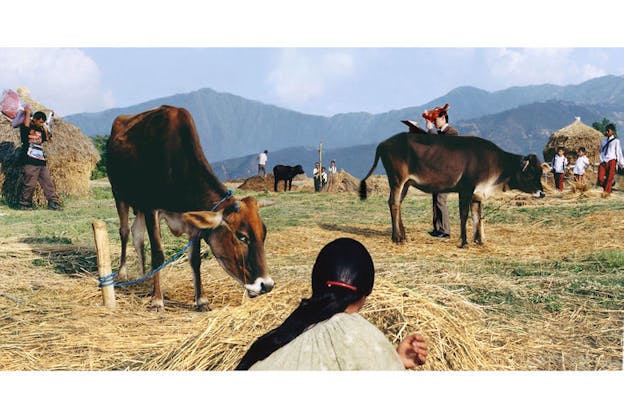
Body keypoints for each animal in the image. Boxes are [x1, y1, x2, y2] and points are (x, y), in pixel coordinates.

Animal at [108, 105, 274, 310]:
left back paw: (144, 277)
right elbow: (158, 254)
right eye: (242, 236)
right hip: (119, 194)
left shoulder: (192, 221)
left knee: (136, 233)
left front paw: (201, 300)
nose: (266, 285)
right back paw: (122, 273)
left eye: (264, 234)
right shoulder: (151, 208)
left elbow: (195, 260)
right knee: (124, 231)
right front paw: (157, 300)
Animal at [358, 132, 548, 247]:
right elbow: (464, 215)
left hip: (406, 183)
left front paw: (479, 241)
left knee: (397, 204)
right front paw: (464, 242)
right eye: (530, 172)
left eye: (540, 172)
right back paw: (397, 237)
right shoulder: (466, 188)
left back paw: (403, 235)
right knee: (394, 203)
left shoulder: (477, 194)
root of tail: (384, 142)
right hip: (397, 179)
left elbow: (477, 216)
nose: (542, 193)